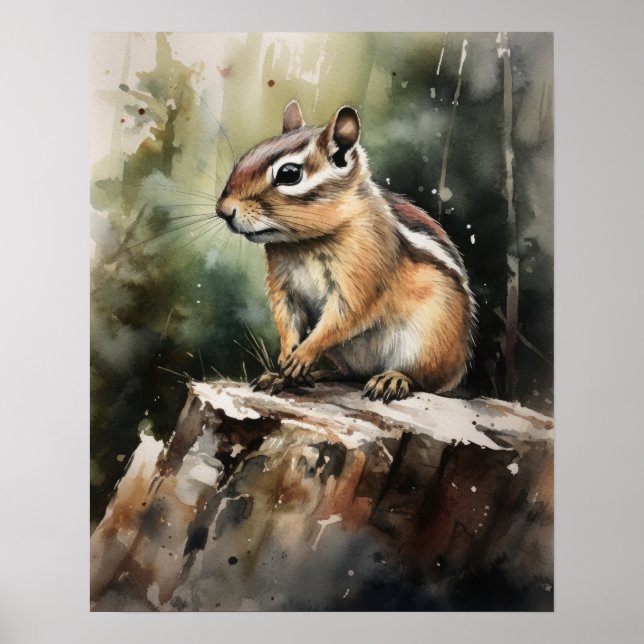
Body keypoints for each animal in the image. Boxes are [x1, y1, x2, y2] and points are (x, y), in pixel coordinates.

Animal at [216, 100, 475, 403]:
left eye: (289, 174)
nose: (223, 210)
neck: (305, 242)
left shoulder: (363, 273)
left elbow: (345, 315)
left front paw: (301, 356)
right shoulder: (284, 287)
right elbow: (287, 317)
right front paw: (285, 359)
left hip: (430, 341)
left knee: (422, 379)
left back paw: (392, 379)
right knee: (351, 375)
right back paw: (309, 376)